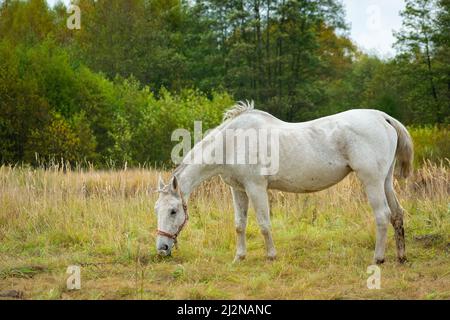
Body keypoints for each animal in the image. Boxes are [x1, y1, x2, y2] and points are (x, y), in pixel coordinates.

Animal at [153, 101, 414, 264]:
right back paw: (401, 257)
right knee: (397, 214)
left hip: (371, 181)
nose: (162, 248)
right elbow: (239, 224)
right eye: (157, 209)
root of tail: (382, 117)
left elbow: (264, 224)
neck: (233, 142)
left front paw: (271, 256)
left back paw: (378, 259)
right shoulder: (238, 190)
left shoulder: (256, 188)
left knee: (382, 215)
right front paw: (239, 257)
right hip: (385, 182)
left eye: (174, 211)